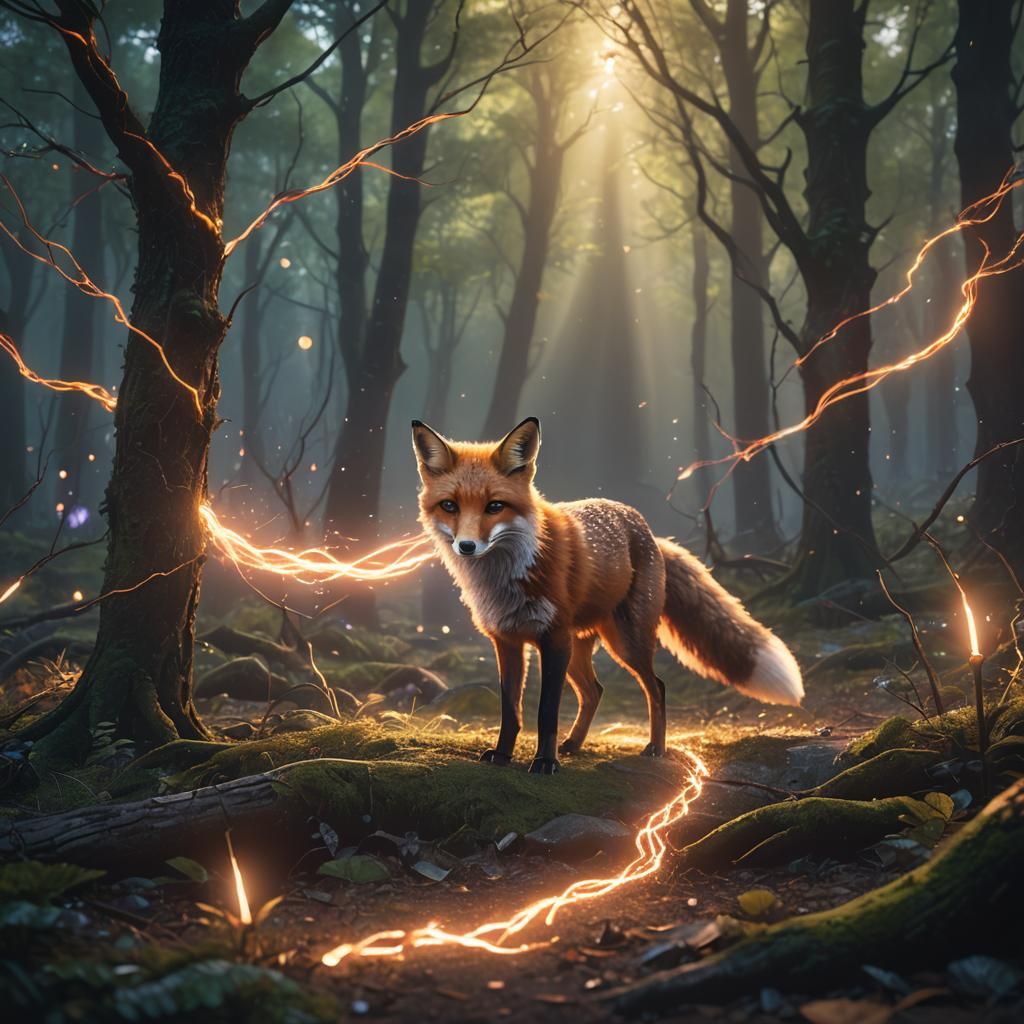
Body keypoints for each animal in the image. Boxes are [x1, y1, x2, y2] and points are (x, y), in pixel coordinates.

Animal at [412, 416, 803, 775]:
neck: (506, 576)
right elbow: (511, 710)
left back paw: (655, 748)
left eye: (495, 506)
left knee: (656, 687)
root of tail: (649, 532)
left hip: (623, 642)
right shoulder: (506, 640)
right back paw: (574, 743)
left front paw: (545, 762)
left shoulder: (552, 639)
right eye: (450, 506)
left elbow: (546, 712)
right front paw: (503, 755)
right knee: (594, 691)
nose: (466, 546)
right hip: (579, 648)